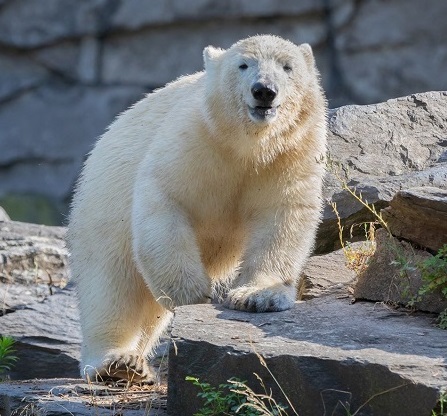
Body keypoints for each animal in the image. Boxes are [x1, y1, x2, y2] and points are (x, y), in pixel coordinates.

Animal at [68, 35, 328, 384]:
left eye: (287, 67)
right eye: (243, 65)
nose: (264, 90)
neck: (249, 145)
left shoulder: (291, 152)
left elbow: (283, 216)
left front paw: (258, 296)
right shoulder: (196, 138)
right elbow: (165, 199)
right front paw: (193, 293)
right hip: (100, 210)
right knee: (110, 286)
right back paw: (117, 363)